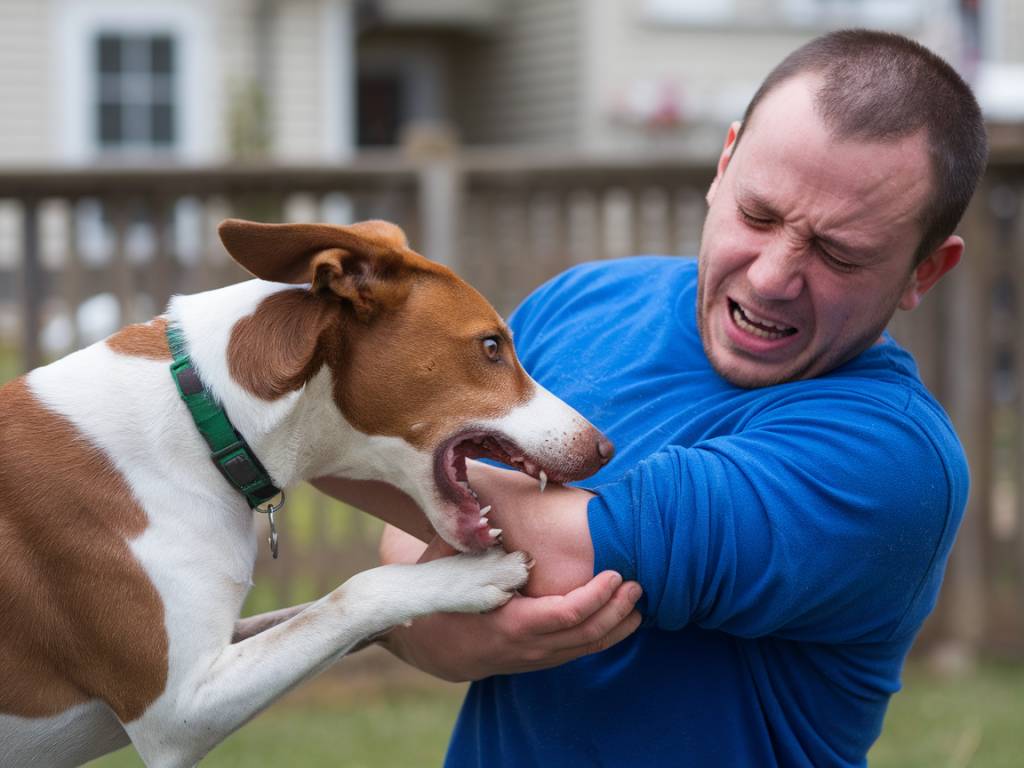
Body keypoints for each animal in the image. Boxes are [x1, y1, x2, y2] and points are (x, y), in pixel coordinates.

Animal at [0, 218, 606, 768]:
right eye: (491, 346)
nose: (604, 448)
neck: (206, 418)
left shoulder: (229, 644)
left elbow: (312, 613)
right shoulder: (179, 712)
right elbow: (353, 593)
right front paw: (467, 578)